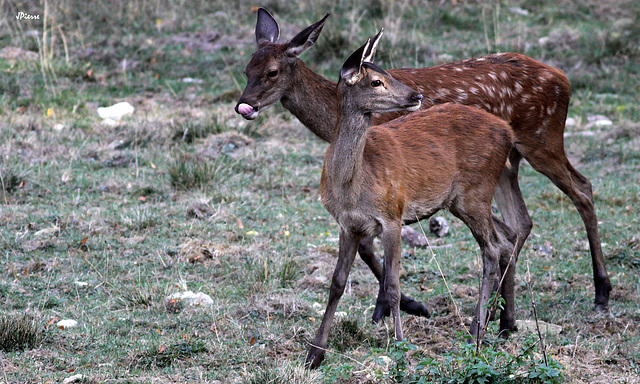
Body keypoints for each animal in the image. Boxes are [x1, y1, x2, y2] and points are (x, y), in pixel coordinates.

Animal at [234, 7, 608, 324]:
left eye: (272, 72)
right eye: (246, 69)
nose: (243, 105)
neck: (334, 118)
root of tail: (564, 80)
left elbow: (376, 243)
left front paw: (399, 306)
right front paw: (396, 307)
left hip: (542, 138)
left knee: (582, 189)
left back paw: (601, 293)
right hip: (507, 165)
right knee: (521, 222)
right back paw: (501, 317)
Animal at [306, 31, 520, 368]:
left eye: (388, 74)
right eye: (377, 81)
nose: (416, 96)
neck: (353, 184)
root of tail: (508, 132)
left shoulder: (392, 215)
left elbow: (393, 285)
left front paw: (400, 345)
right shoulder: (347, 225)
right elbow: (337, 283)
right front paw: (315, 353)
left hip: (476, 191)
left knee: (492, 248)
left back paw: (476, 332)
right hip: (463, 200)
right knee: (507, 238)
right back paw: (502, 325)